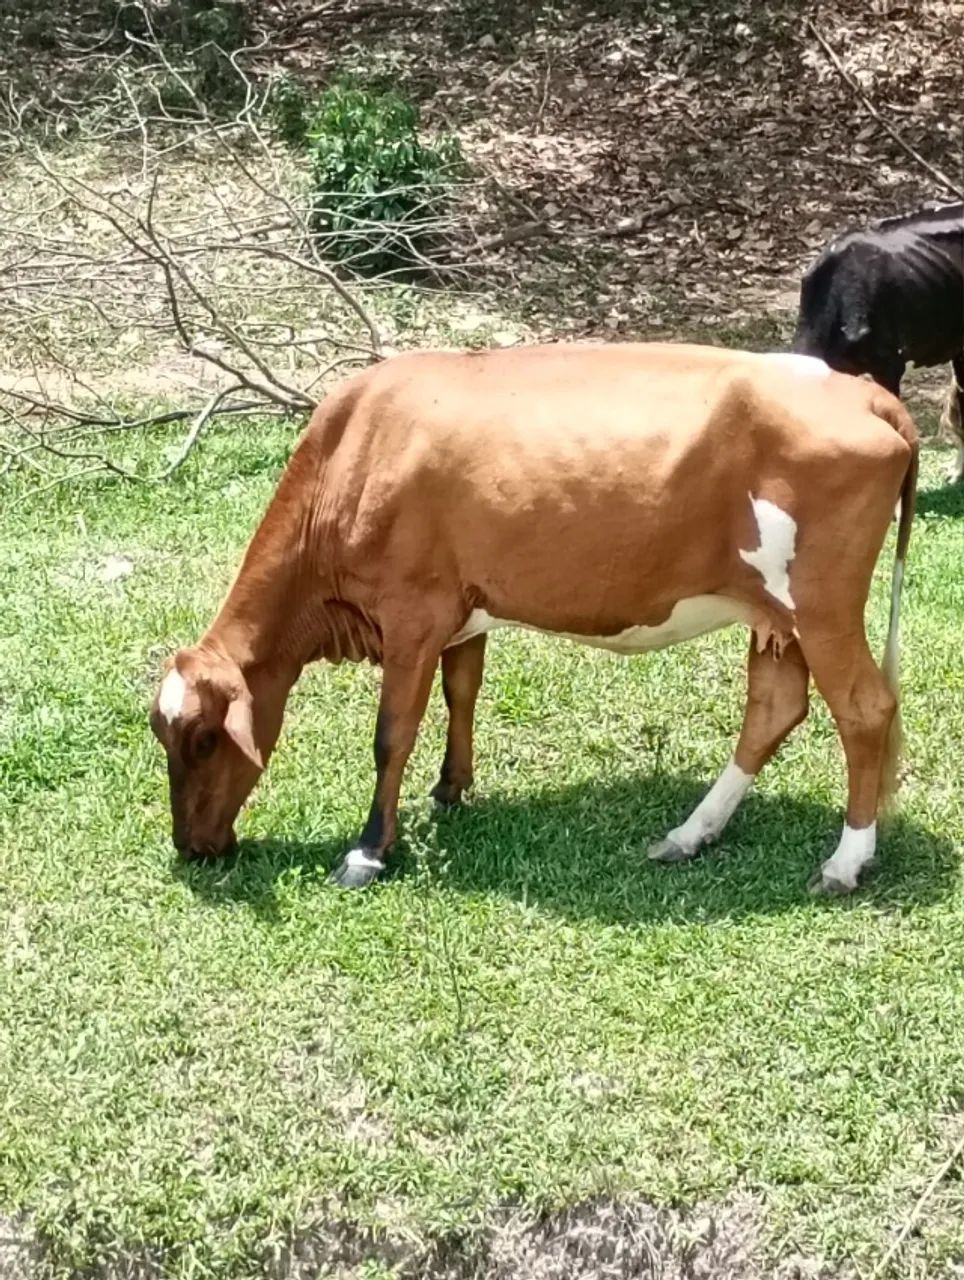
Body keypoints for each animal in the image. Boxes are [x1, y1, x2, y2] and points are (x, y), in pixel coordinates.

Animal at [149, 343, 918, 898]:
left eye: (205, 740)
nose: (192, 847)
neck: (354, 453)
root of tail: (862, 389)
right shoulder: (461, 612)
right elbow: (462, 693)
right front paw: (451, 790)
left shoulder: (412, 613)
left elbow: (392, 735)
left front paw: (369, 850)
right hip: (774, 614)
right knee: (774, 709)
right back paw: (689, 834)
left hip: (822, 603)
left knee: (865, 709)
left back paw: (846, 862)